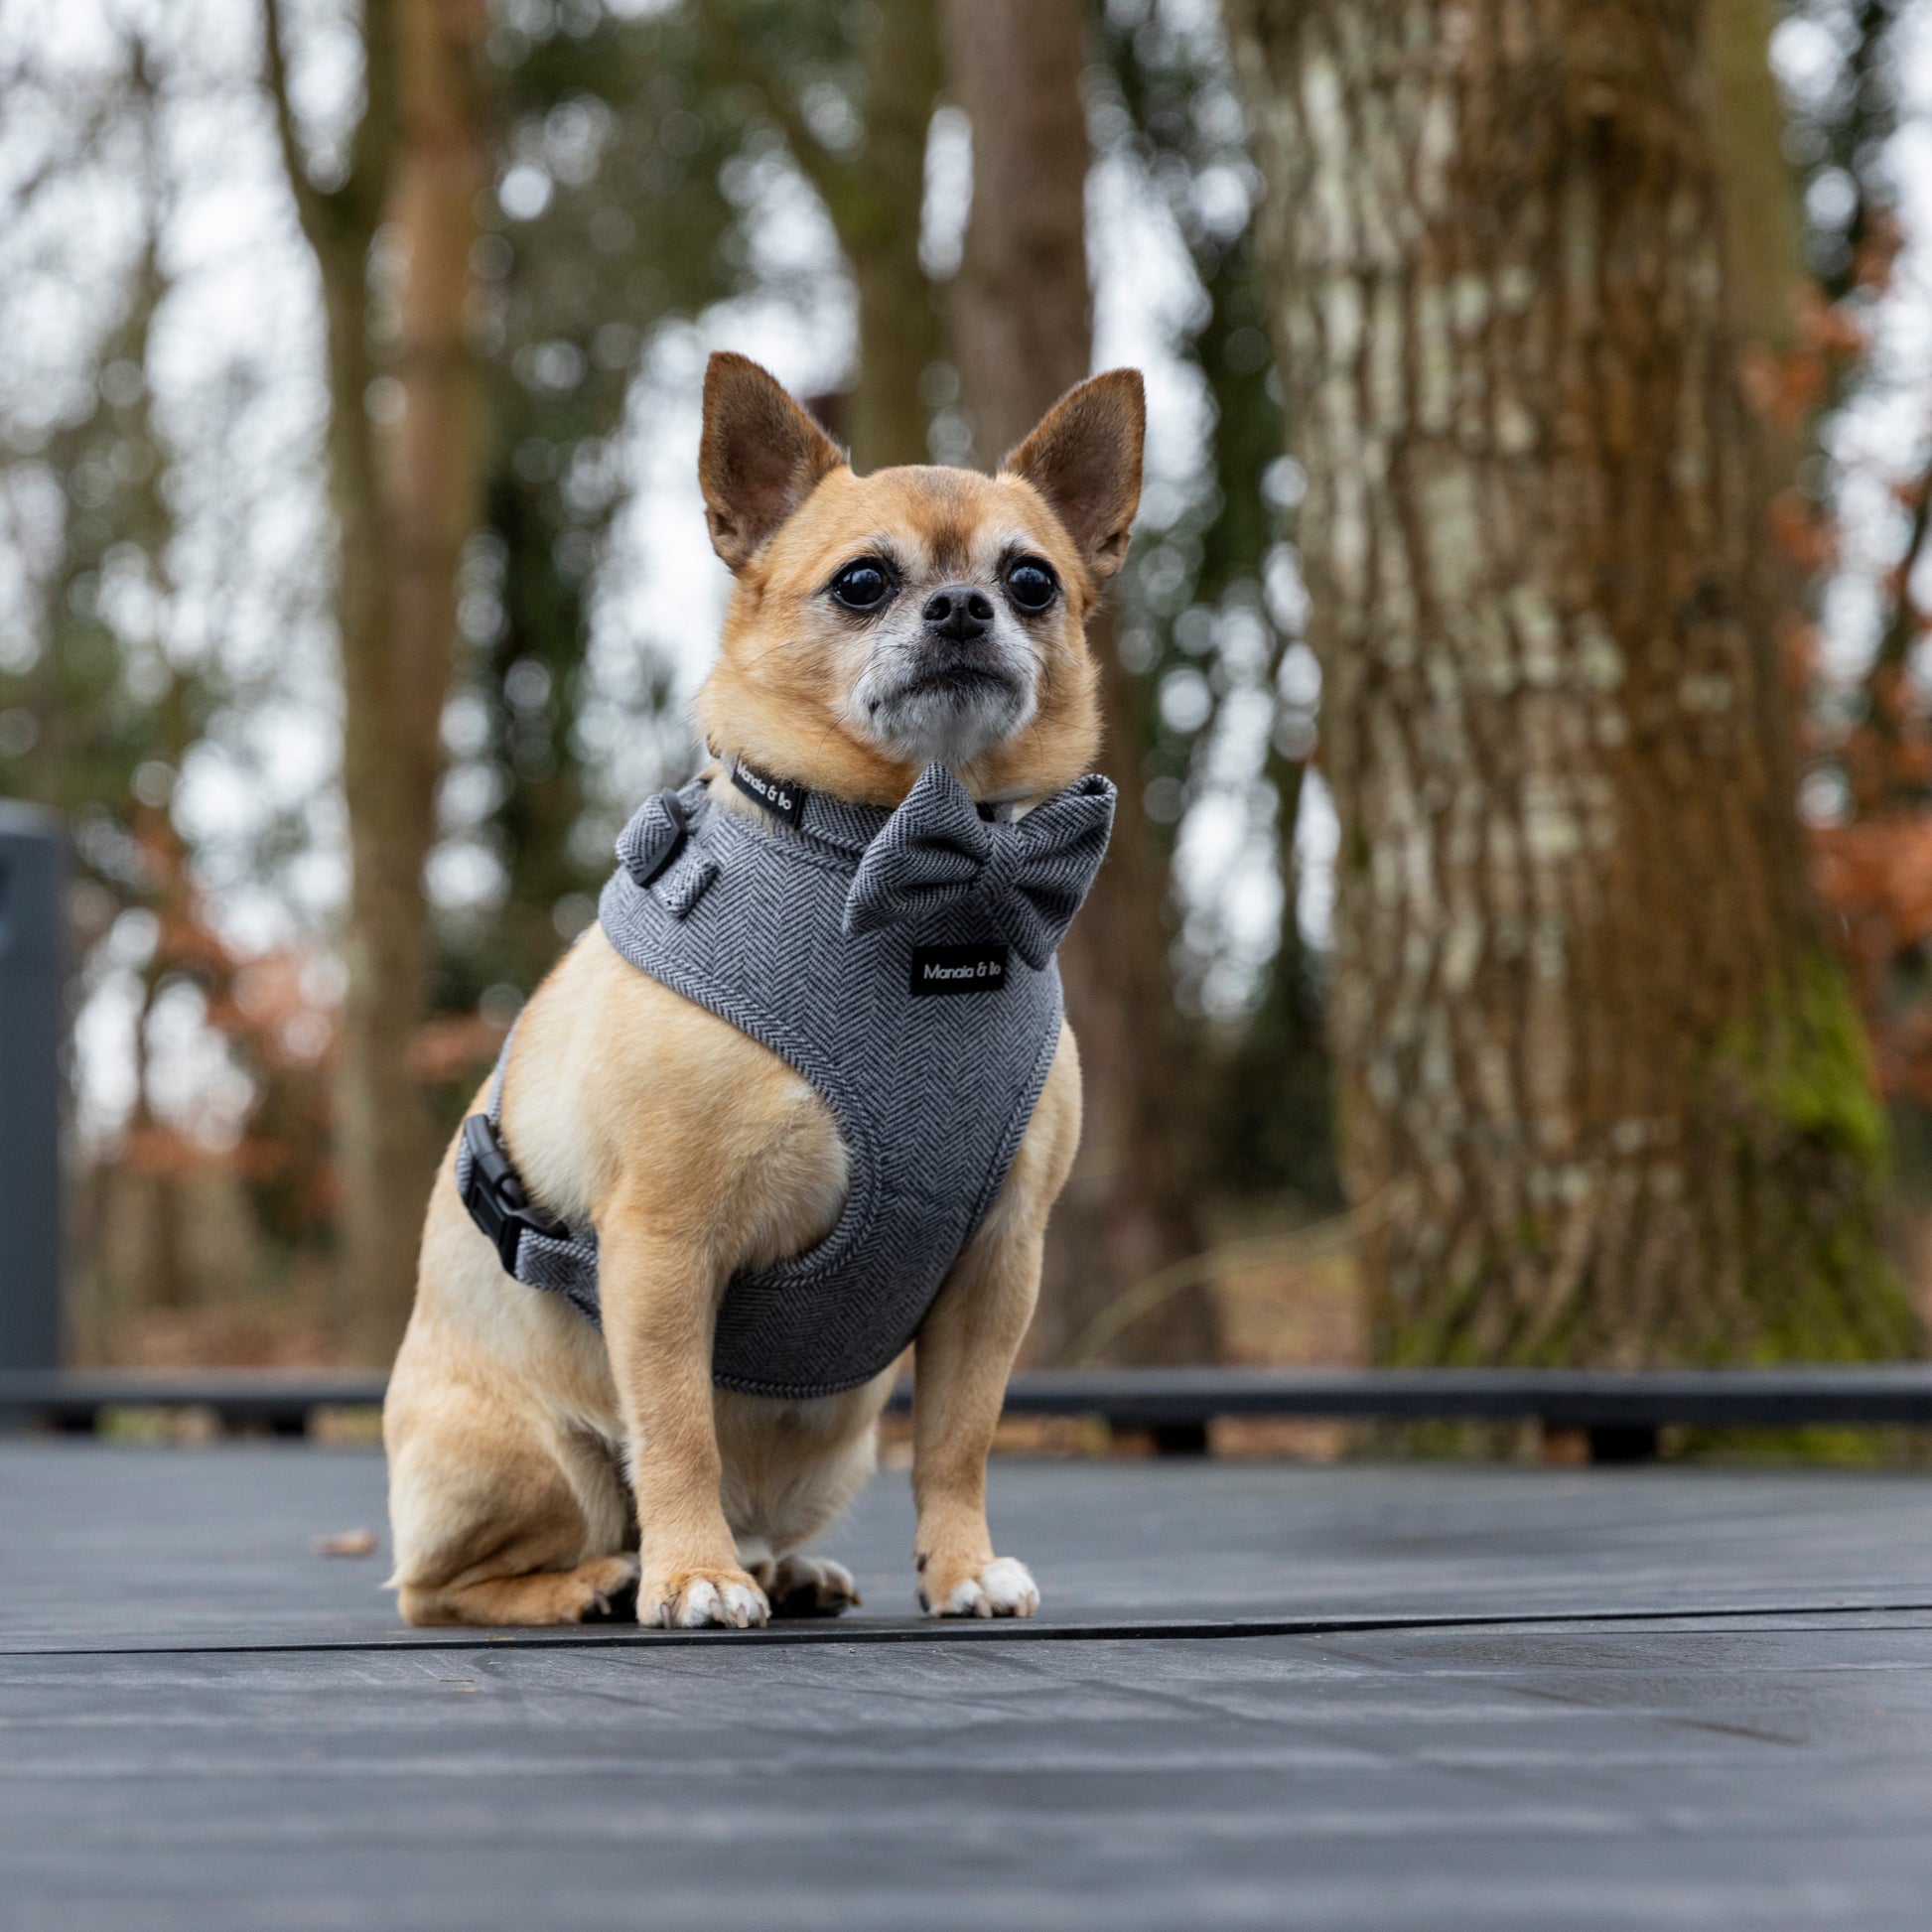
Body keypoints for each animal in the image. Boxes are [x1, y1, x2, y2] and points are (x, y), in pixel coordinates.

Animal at [382, 351, 1136, 1630]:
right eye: (863, 582)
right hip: (530, 1459)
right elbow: (678, 1423)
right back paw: (603, 1577)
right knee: (446, 1584)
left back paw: (780, 1567)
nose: (962, 608)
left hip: (832, 1447)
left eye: (1031, 581)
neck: (911, 880)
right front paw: (690, 1575)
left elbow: (961, 1436)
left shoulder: (998, 1265)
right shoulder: (661, 1249)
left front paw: (962, 1563)